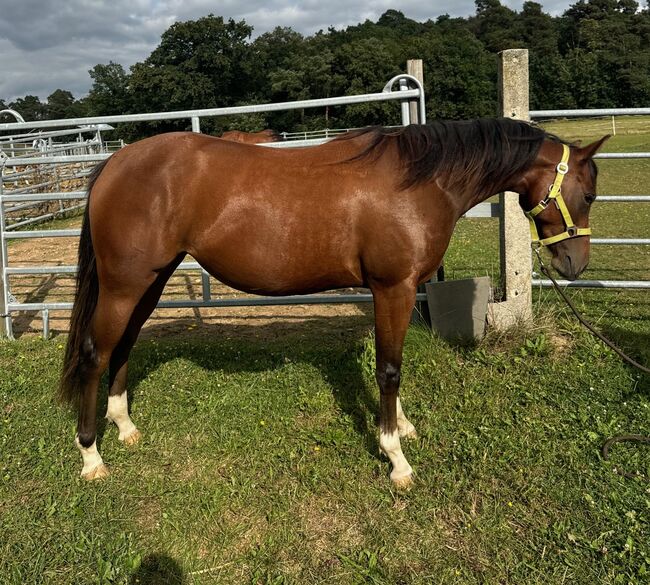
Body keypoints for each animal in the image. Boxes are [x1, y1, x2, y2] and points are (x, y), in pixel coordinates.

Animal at [58, 116, 604, 486]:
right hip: (126, 285)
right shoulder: (393, 288)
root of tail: (115, 163)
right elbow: (389, 369)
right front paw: (395, 457)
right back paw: (91, 456)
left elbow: (393, 364)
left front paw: (403, 427)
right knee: (95, 353)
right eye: (590, 194)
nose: (574, 264)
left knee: (124, 346)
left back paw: (124, 426)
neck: (421, 180)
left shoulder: (398, 292)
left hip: (149, 281)